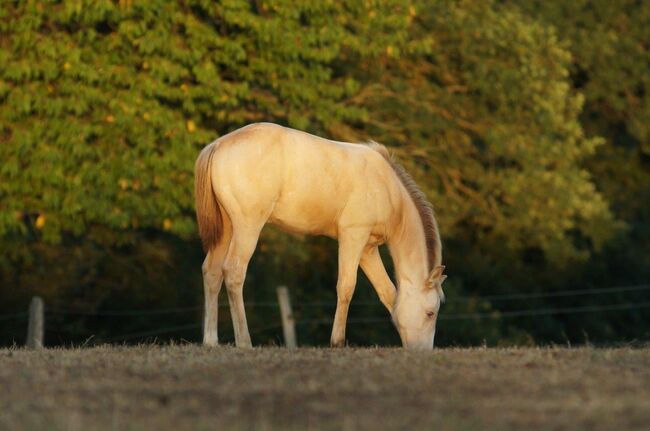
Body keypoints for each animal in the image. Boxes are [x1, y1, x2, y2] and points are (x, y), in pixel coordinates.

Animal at [194, 122, 446, 352]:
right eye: (430, 313)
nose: (421, 352)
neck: (387, 188)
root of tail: (218, 145)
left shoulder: (367, 249)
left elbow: (388, 293)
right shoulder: (353, 237)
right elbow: (346, 286)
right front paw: (337, 342)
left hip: (226, 230)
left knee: (212, 272)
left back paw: (210, 341)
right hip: (248, 227)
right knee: (234, 272)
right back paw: (244, 342)